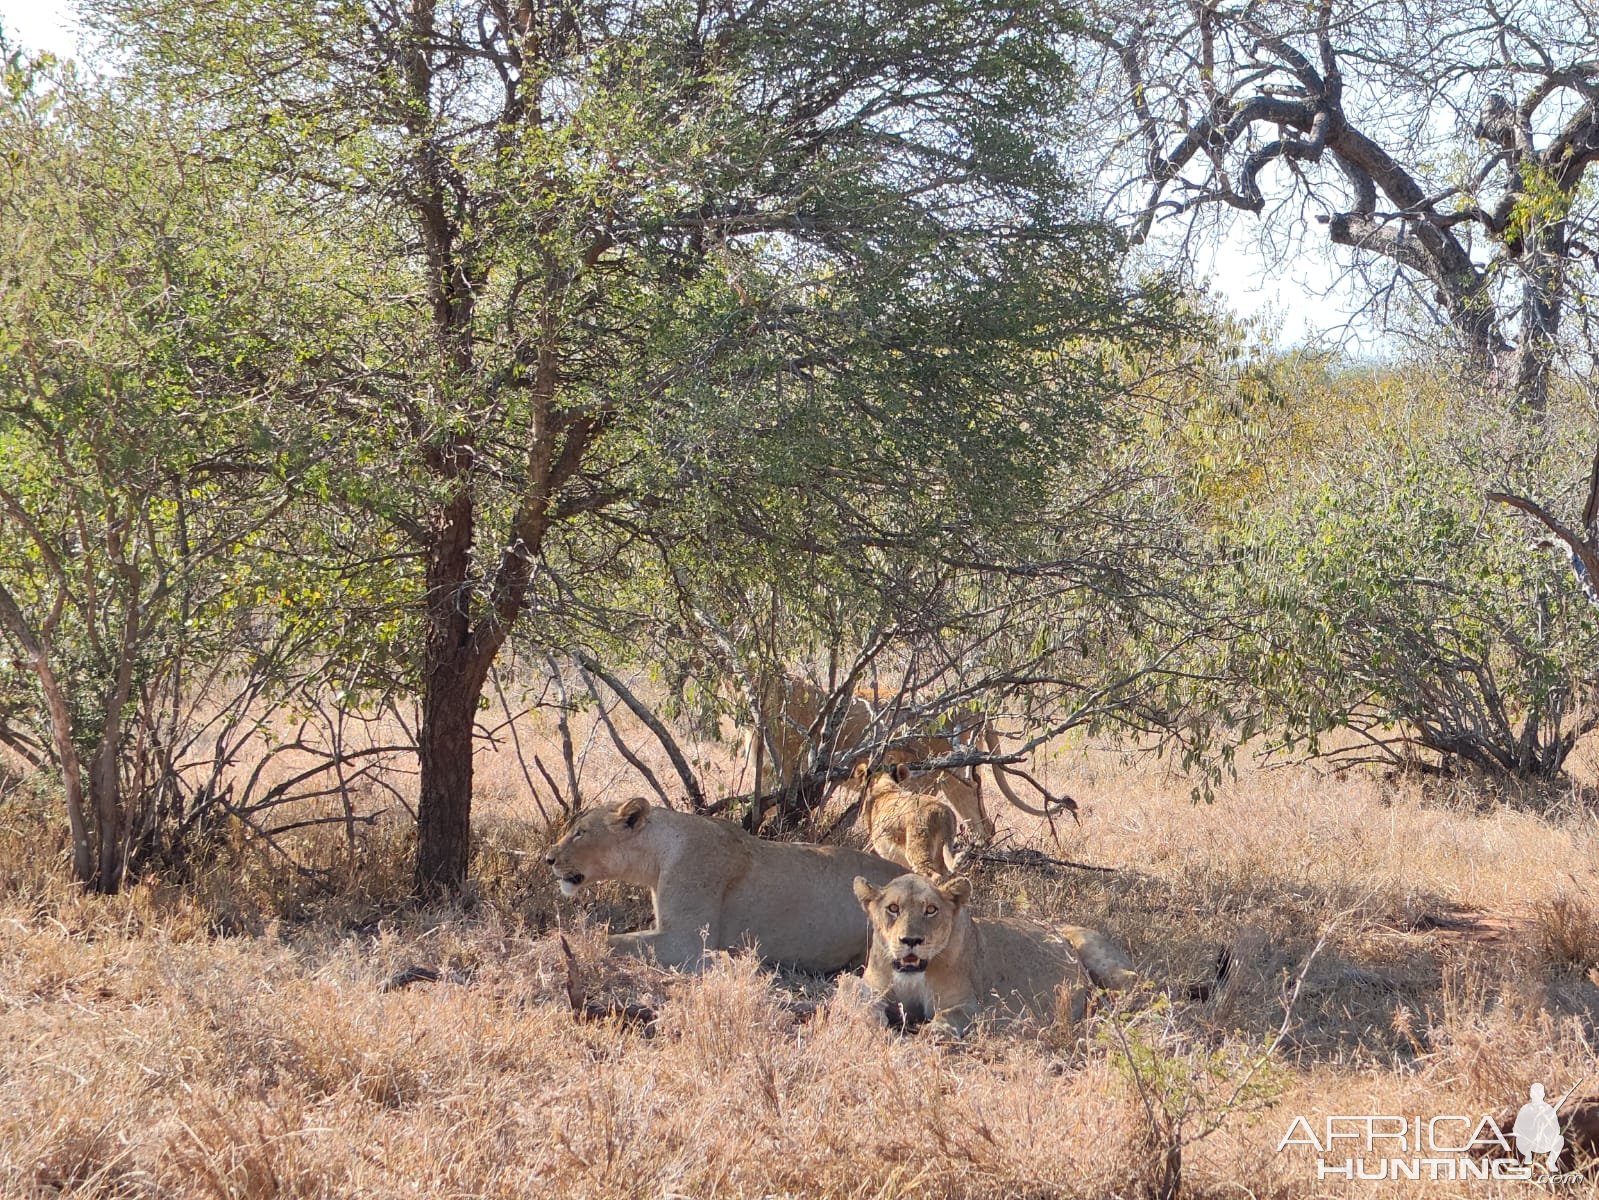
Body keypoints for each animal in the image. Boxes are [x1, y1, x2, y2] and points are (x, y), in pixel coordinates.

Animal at [546, 800, 901, 979]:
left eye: (580, 832)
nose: (548, 859)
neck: (658, 855)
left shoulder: (685, 942)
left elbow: (609, 941)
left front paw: (557, 944)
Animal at [850, 876, 1138, 1043]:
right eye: (893, 908)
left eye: (931, 910)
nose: (911, 940)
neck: (912, 974)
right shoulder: (873, 988)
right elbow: (858, 1001)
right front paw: (873, 1025)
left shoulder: (968, 1004)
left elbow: (948, 1016)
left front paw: (932, 1032)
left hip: (1097, 955)